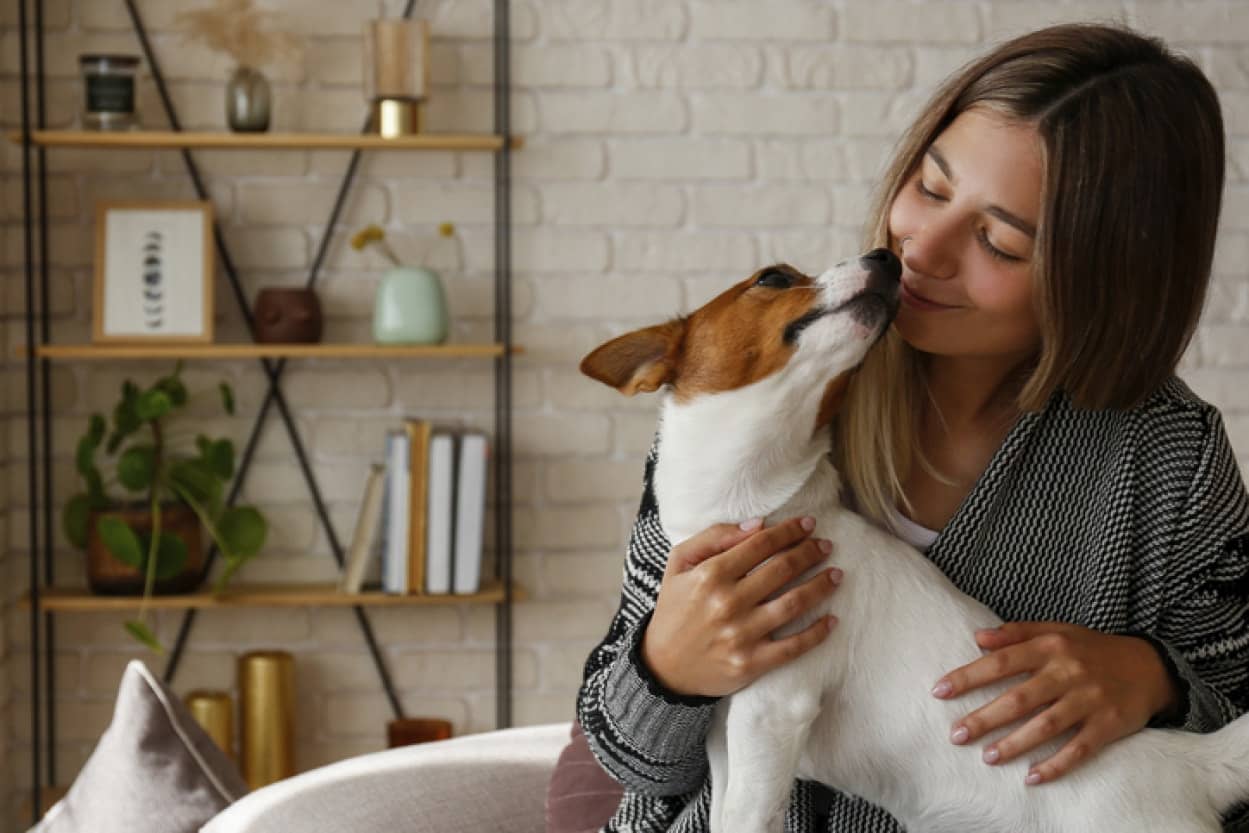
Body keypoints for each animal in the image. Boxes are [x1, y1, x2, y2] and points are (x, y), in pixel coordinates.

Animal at [579, 249, 1249, 833]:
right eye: (772, 278)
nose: (887, 257)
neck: (760, 508)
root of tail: (1183, 768)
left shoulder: (771, 712)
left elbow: (748, 819)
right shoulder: (726, 727)